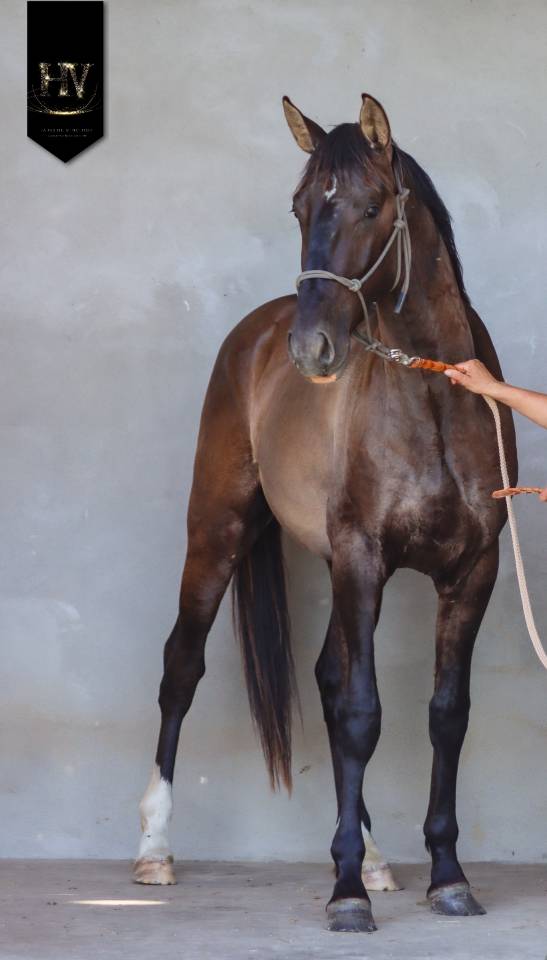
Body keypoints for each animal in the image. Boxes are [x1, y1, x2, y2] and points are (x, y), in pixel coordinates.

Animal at [133, 93, 517, 933]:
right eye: (300, 207)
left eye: (372, 207)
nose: (311, 348)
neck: (435, 399)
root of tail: (257, 332)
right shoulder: (362, 559)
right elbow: (361, 714)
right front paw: (343, 895)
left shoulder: (471, 573)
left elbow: (445, 714)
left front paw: (445, 875)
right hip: (217, 532)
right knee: (183, 667)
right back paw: (154, 849)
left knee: (324, 676)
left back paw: (373, 859)